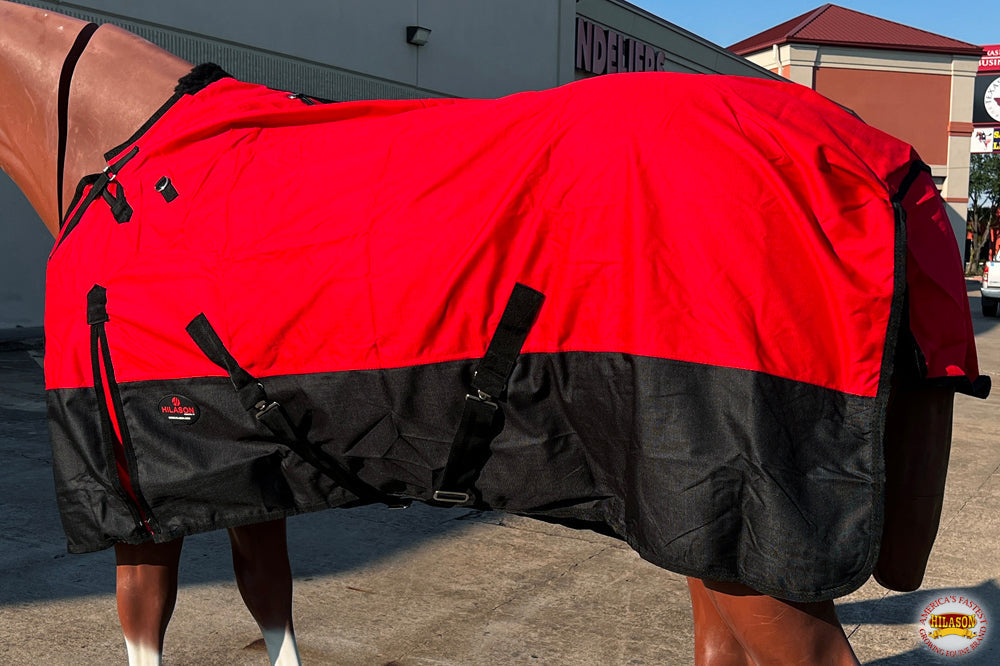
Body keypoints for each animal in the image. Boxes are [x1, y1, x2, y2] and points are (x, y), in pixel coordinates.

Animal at [0, 2, 986, 664]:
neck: (120, 150)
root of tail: (876, 155)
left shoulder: (131, 495)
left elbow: (151, 622)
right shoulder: (243, 471)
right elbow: (270, 603)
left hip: (749, 531)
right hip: (705, 532)